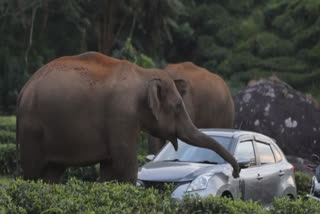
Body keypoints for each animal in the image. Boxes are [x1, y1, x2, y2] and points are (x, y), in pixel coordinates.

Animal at [16, 51, 239, 183]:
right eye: (177, 107)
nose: (237, 173)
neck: (144, 74)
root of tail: (24, 89)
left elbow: (109, 166)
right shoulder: (121, 114)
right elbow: (125, 163)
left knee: (53, 172)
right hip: (32, 128)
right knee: (33, 172)